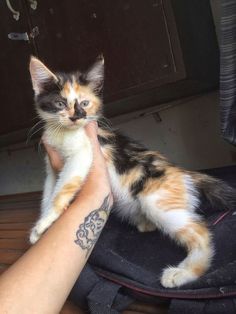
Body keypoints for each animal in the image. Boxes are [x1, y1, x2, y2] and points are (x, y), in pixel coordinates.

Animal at [28, 56, 235, 288]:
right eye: (60, 103)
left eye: (84, 103)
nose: (77, 117)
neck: (62, 132)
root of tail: (182, 172)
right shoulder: (51, 169)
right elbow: (48, 193)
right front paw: (42, 228)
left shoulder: (83, 153)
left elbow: (62, 190)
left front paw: (43, 225)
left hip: (156, 200)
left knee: (201, 232)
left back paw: (183, 273)